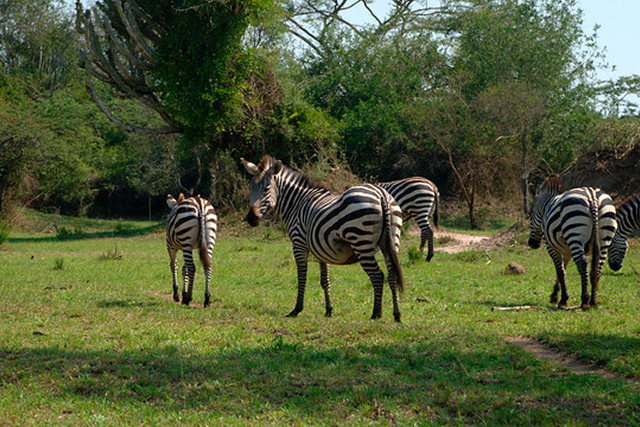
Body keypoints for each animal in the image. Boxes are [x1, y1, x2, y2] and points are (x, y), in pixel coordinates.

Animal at [241, 155, 405, 322]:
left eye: (266, 188)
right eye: (251, 187)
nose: (251, 219)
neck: (296, 204)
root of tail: (381, 194)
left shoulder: (299, 244)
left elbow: (302, 277)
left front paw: (297, 309)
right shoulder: (321, 248)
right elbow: (324, 280)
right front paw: (328, 310)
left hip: (361, 243)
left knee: (378, 276)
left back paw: (376, 314)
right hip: (390, 242)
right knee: (392, 275)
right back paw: (397, 314)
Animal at [528, 176, 617, 309]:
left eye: (530, 214)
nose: (531, 243)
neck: (546, 207)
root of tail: (592, 196)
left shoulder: (551, 247)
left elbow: (560, 271)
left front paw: (563, 299)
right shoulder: (567, 251)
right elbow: (563, 269)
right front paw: (555, 295)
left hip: (574, 234)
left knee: (583, 263)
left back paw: (585, 300)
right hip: (604, 238)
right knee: (598, 268)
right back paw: (593, 301)